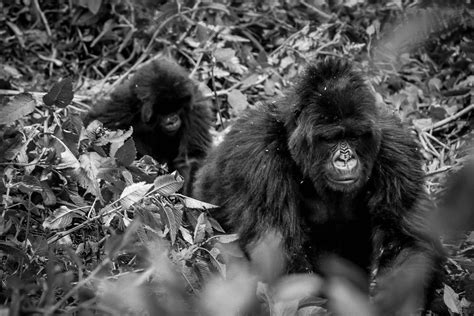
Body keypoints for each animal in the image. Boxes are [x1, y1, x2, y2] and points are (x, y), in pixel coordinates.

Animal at [84, 58, 211, 194]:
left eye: (177, 107)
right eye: (162, 110)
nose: (172, 120)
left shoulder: (196, 108)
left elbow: (190, 157)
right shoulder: (123, 104)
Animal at [193, 58, 444, 312]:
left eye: (354, 137)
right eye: (331, 139)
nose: (345, 159)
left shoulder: (396, 148)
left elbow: (405, 239)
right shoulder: (257, 152)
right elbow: (283, 259)